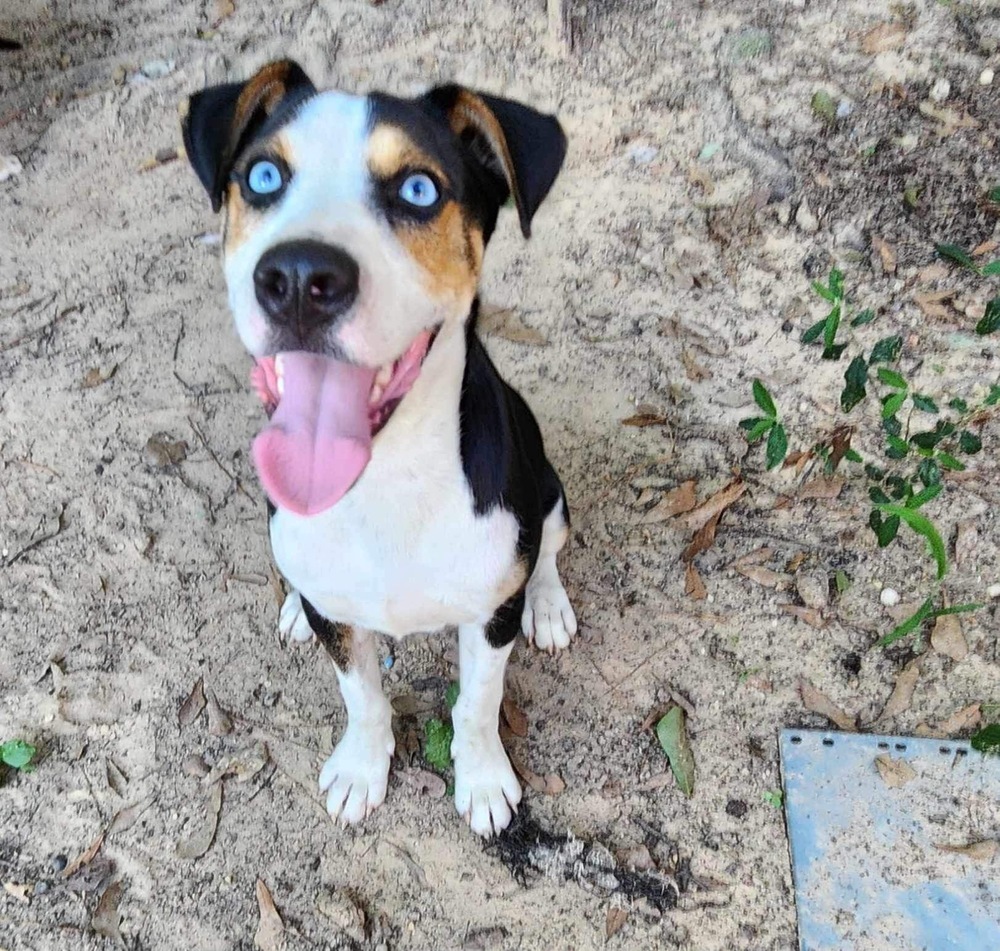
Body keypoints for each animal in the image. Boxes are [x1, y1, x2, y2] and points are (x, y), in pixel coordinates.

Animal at [183, 59, 576, 836]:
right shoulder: (341, 621)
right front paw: (361, 769)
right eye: (263, 177)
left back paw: (547, 604)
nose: (298, 278)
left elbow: (477, 705)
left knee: (547, 547)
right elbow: (361, 695)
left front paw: (484, 781)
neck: (385, 483)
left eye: (419, 189)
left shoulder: (489, 618)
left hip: (548, 486)